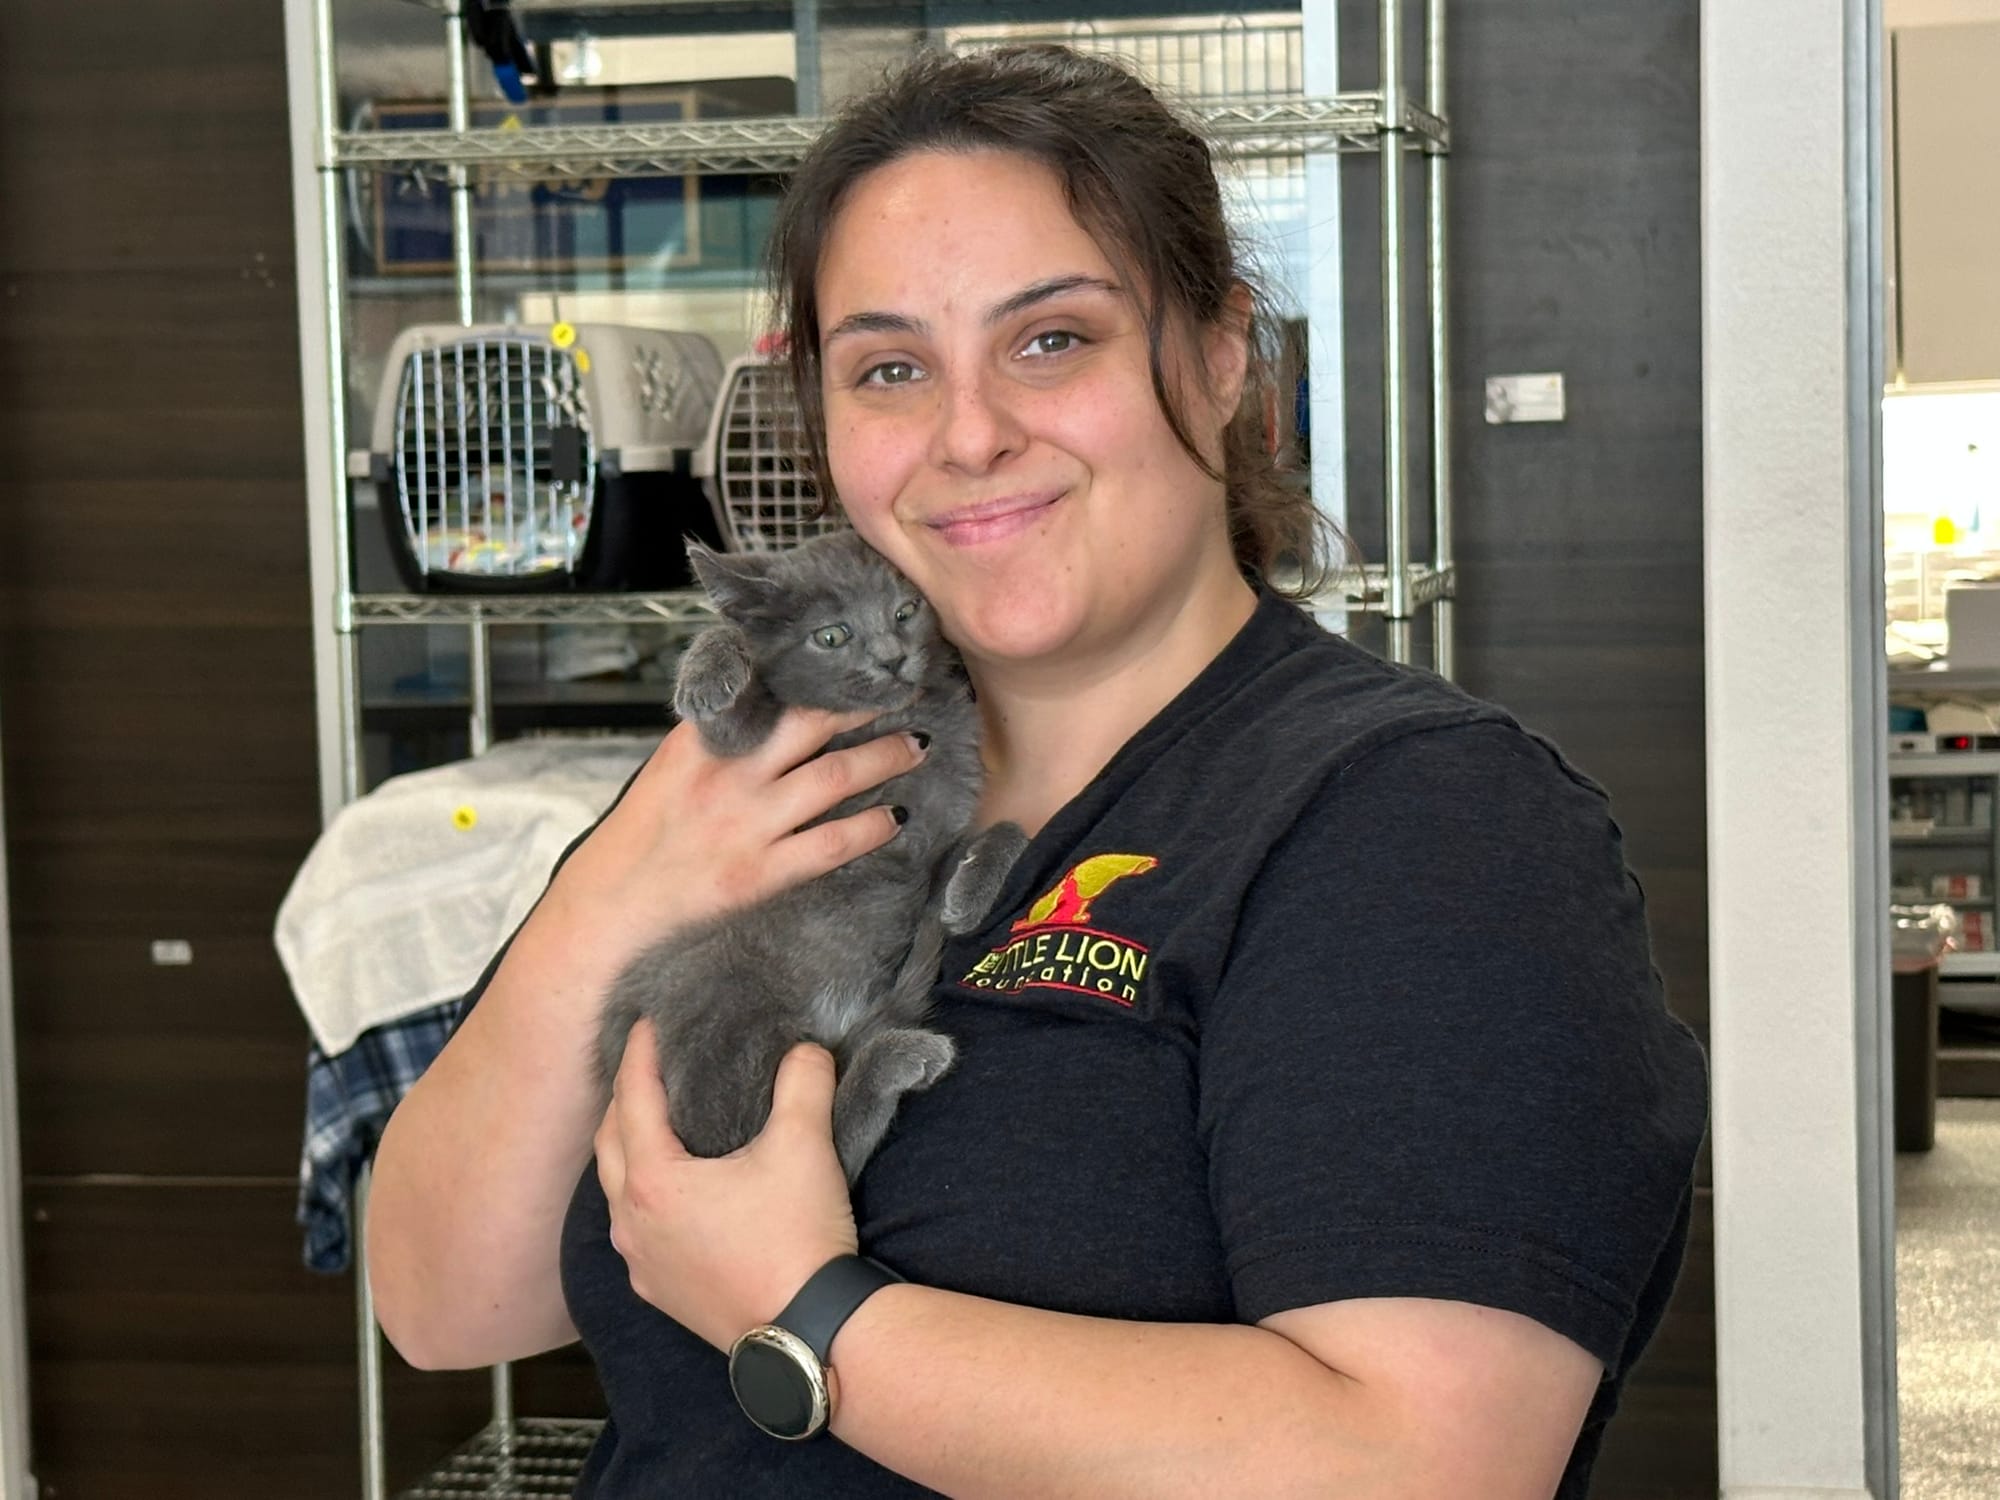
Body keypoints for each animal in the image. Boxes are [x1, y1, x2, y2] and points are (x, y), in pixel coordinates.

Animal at [592, 536, 1024, 1184]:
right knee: (761, 1149)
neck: (894, 719)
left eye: (905, 611)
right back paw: (895, 1059)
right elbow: (728, 724)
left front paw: (971, 890)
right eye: (831, 635)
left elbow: (989, 839)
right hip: (718, 986)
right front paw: (710, 669)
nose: (893, 658)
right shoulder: (753, 749)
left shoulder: (929, 844)